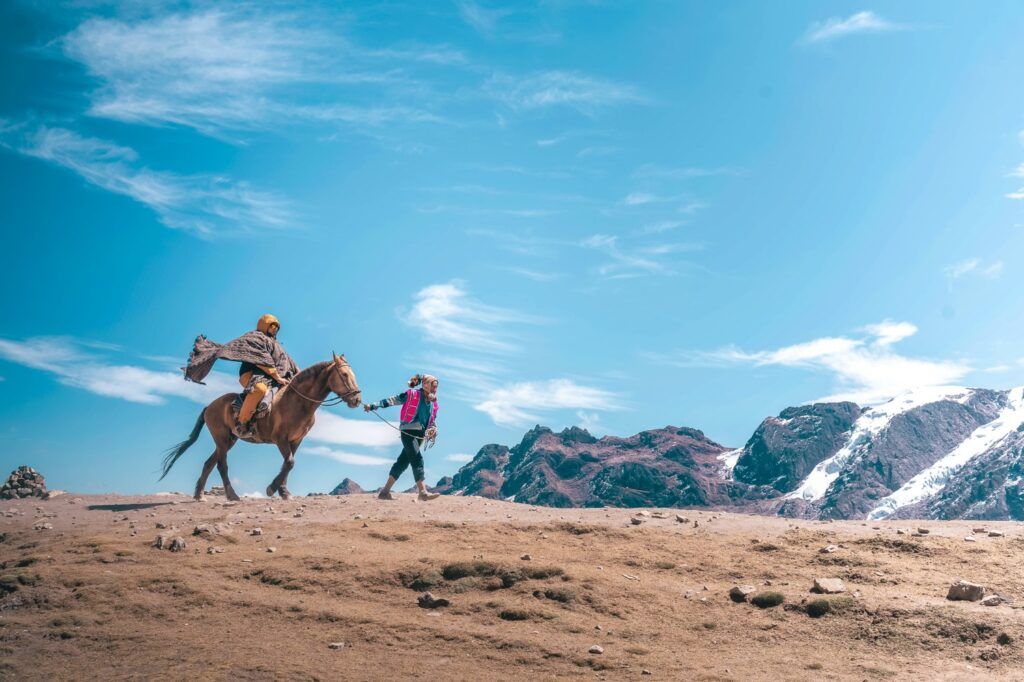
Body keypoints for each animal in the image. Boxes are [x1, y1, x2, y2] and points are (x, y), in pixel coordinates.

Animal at [160, 353, 362, 501]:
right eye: (344, 375)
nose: (357, 399)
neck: (298, 401)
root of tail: (209, 406)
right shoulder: (281, 439)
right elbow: (289, 462)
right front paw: (272, 489)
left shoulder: (296, 441)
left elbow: (287, 464)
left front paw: (284, 492)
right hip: (223, 441)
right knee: (221, 465)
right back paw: (231, 495)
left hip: (228, 441)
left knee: (209, 463)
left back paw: (200, 495)